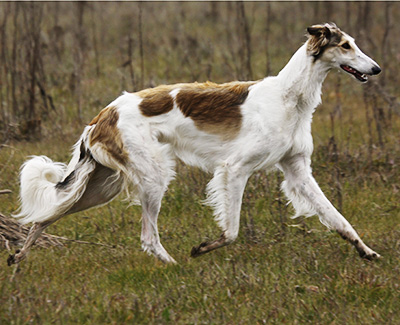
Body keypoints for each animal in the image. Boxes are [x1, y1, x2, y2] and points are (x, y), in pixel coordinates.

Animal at [7, 23, 380, 266]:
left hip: (101, 187)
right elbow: (231, 230)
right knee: (148, 237)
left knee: (43, 218)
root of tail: (101, 116)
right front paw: (202, 248)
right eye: (345, 46)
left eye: (355, 43)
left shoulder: (298, 170)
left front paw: (366, 251)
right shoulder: (235, 169)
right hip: (153, 176)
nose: (376, 68)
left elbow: (339, 219)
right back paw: (175, 265)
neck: (289, 97)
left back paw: (19, 256)